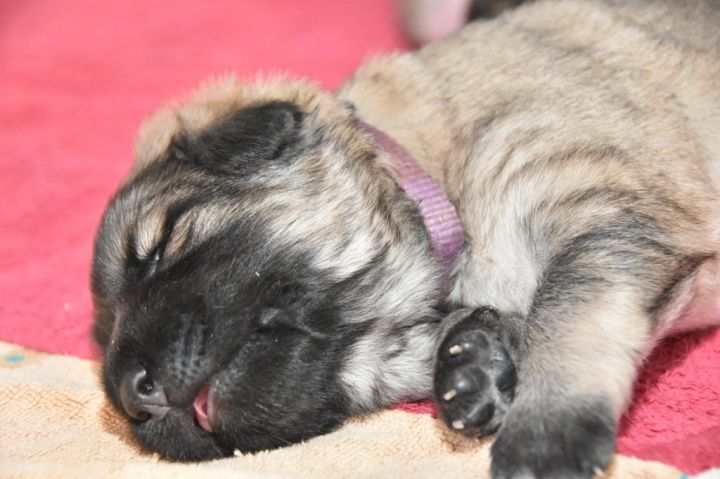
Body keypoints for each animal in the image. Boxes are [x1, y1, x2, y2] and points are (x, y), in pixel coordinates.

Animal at [91, 0, 720, 477]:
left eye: (160, 243)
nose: (132, 395)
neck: (434, 175)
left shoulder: (606, 212)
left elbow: (569, 321)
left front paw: (546, 434)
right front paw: (475, 358)